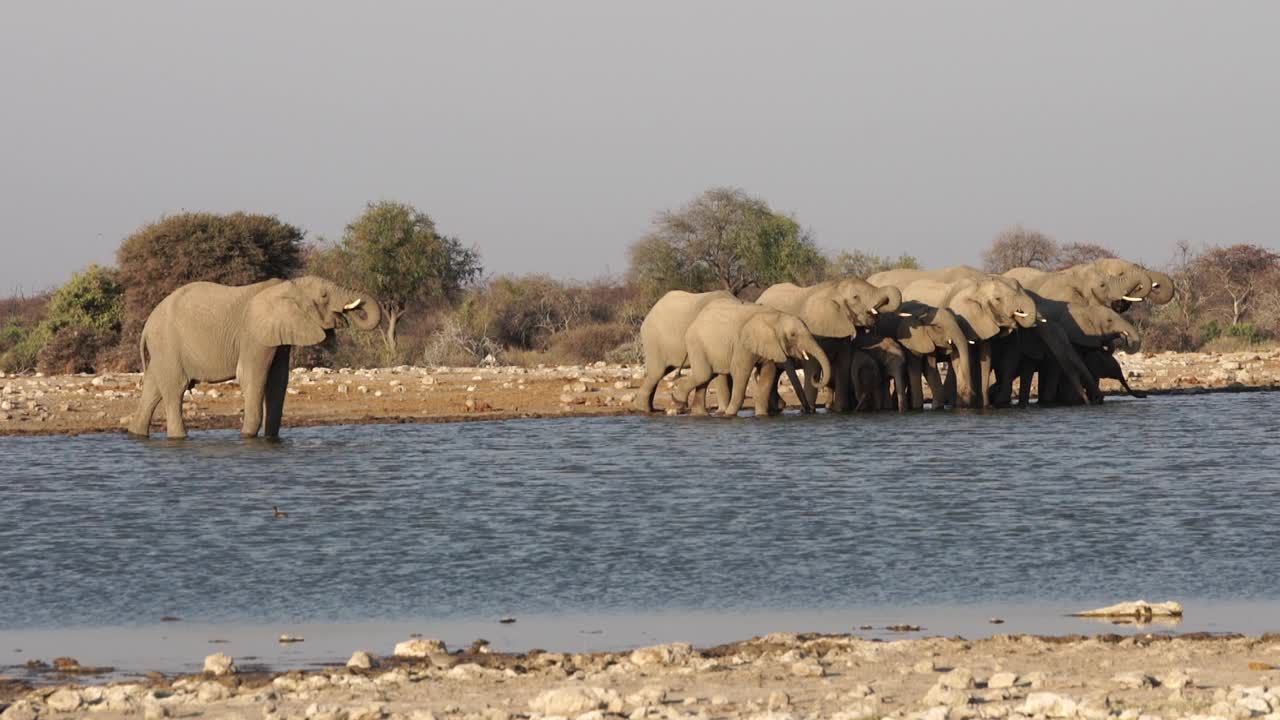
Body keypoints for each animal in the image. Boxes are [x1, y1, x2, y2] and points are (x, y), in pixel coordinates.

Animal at [675, 299, 834, 417]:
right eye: (793, 335)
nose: (808, 411)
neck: (776, 317)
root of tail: (695, 321)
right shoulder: (742, 344)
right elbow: (741, 372)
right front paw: (729, 415)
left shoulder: (770, 346)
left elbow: (768, 374)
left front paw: (762, 415)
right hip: (696, 344)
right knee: (704, 374)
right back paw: (678, 400)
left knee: (707, 376)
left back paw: (699, 414)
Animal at [757, 275, 901, 409]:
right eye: (855, 297)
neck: (834, 289)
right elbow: (812, 364)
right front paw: (809, 410)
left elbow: (843, 364)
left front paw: (841, 409)